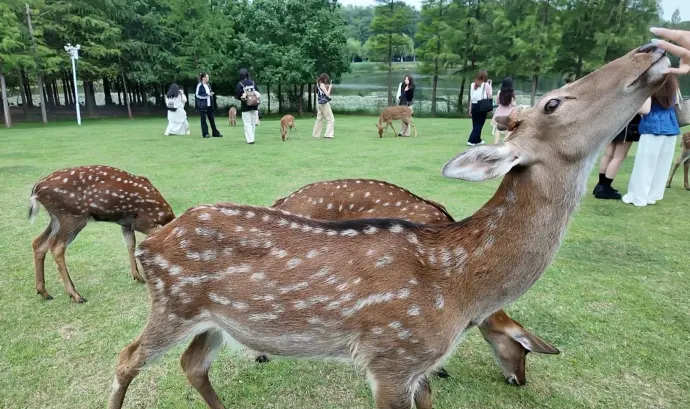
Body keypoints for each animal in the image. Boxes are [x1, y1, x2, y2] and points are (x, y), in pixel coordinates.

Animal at [28, 165, 175, 303]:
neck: (162, 215)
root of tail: (36, 189)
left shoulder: (126, 224)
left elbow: (130, 245)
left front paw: (137, 276)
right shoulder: (142, 221)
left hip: (57, 218)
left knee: (38, 242)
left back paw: (44, 292)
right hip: (72, 216)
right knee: (56, 247)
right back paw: (76, 295)